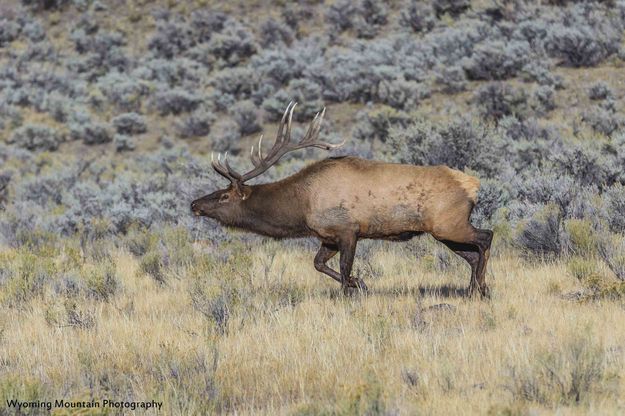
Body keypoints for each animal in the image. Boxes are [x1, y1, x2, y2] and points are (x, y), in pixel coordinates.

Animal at [190, 101, 492, 296]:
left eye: (224, 195)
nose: (194, 204)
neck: (302, 207)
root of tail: (473, 185)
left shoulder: (348, 230)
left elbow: (344, 270)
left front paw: (354, 289)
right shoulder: (327, 236)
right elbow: (318, 264)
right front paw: (360, 283)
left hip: (448, 223)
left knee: (485, 238)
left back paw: (480, 288)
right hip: (443, 231)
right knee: (472, 255)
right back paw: (473, 289)